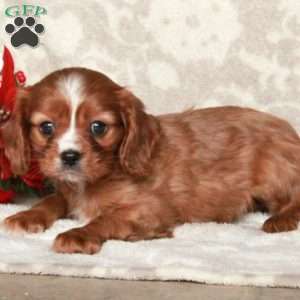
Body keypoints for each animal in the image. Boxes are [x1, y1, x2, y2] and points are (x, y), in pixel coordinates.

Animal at [1, 67, 300, 254]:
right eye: (46, 127)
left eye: (98, 127)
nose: (70, 156)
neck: (89, 183)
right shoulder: (68, 192)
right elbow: (51, 201)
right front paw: (25, 216)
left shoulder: (150, 208)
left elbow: (106, 218)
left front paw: (78, 235)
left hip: (274, 168)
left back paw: (281, 219)